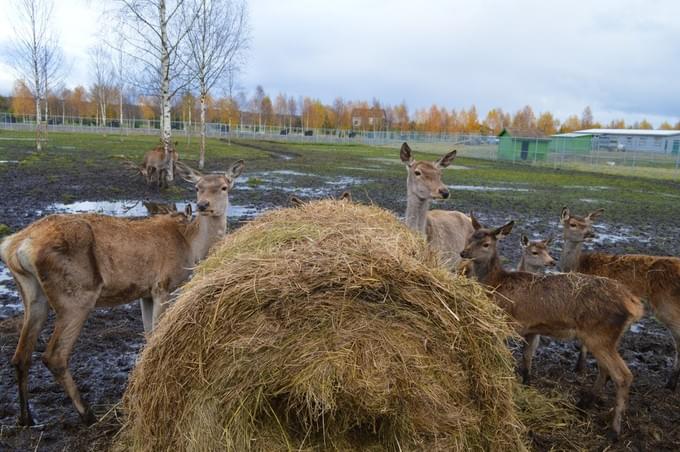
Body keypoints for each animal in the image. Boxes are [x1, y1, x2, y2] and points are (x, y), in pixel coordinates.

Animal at [0, 160, 244, 428]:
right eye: (197, 187)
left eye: (223, 186)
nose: (203, 205)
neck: (191, 249)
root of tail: (16, 246)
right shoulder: (164, 284)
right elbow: (156, 333)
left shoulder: (145, 292)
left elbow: (148, 336)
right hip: (76, 295)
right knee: (54, 356)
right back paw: (88, 414)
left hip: (32, 294)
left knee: (21, 355)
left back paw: (26, 418)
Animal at [462, 215, 644, 442]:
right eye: (470, 237)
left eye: (486, 244)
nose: (463, 253)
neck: (496, 284)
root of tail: (634, 305)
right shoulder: (530, 328)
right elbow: (527, 358)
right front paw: (526, 383)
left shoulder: (507, 323)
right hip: (608, 338)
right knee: (606, 370)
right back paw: (585, 403)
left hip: (600, 334)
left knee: (623, 376)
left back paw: (614, 429)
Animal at [560, 207, 680, 388]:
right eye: (573, 224)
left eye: (589, 223)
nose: (591, 233)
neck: (578, 267)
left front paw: (580, 369)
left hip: (667, 306)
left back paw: (671, 383)